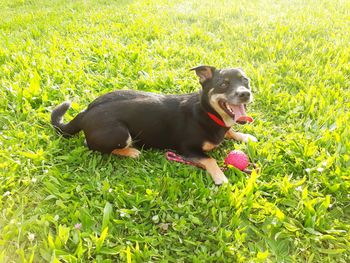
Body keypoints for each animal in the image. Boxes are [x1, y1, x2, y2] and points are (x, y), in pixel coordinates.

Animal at [50, 66, 258, 186]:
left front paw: (245, 137)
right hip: (120, 133)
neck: (209, 113)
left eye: (245, 80)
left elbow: (231, 131)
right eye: (223, 84)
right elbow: (210, 160)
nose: (245, 93)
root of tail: (85, 112)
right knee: (92, 145)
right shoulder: (188, 149)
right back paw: (131, 152)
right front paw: (220, 177)